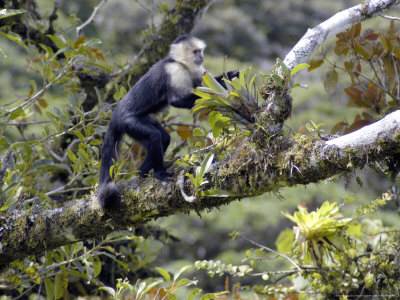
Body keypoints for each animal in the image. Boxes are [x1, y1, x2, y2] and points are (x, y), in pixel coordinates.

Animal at [98, 35, 239, 209]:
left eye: (200, 51)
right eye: (195, 51)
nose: (201, 57)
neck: (181, 63)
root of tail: (115, 115)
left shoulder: (196, 69)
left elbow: (204, 84)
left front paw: (230, 76)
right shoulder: (175, 70)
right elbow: (177, 100)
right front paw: (218, 97)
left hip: (140, 119)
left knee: (163, 138)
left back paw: (142, 173)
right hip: (128, 121)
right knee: (153, 136)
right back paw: (159, 173)